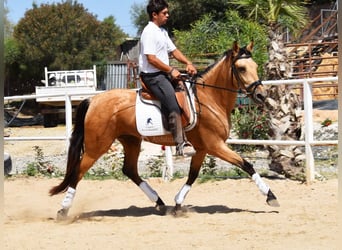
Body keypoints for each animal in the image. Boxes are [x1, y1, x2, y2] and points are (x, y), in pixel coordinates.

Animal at [49, 40, 280, 219]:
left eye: (255, 65)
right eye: (241, 68)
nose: (261, 95)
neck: (208, 99)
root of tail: (94, 100)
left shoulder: (203, 148)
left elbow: (193, 175)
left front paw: (177, 204)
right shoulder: (215, 145)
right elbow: (247, 165)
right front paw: (271, 197)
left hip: (131, 141)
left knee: (129, 170)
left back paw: (159, 202)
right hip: (97, 146)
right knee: (78, 172)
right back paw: (63, 211)